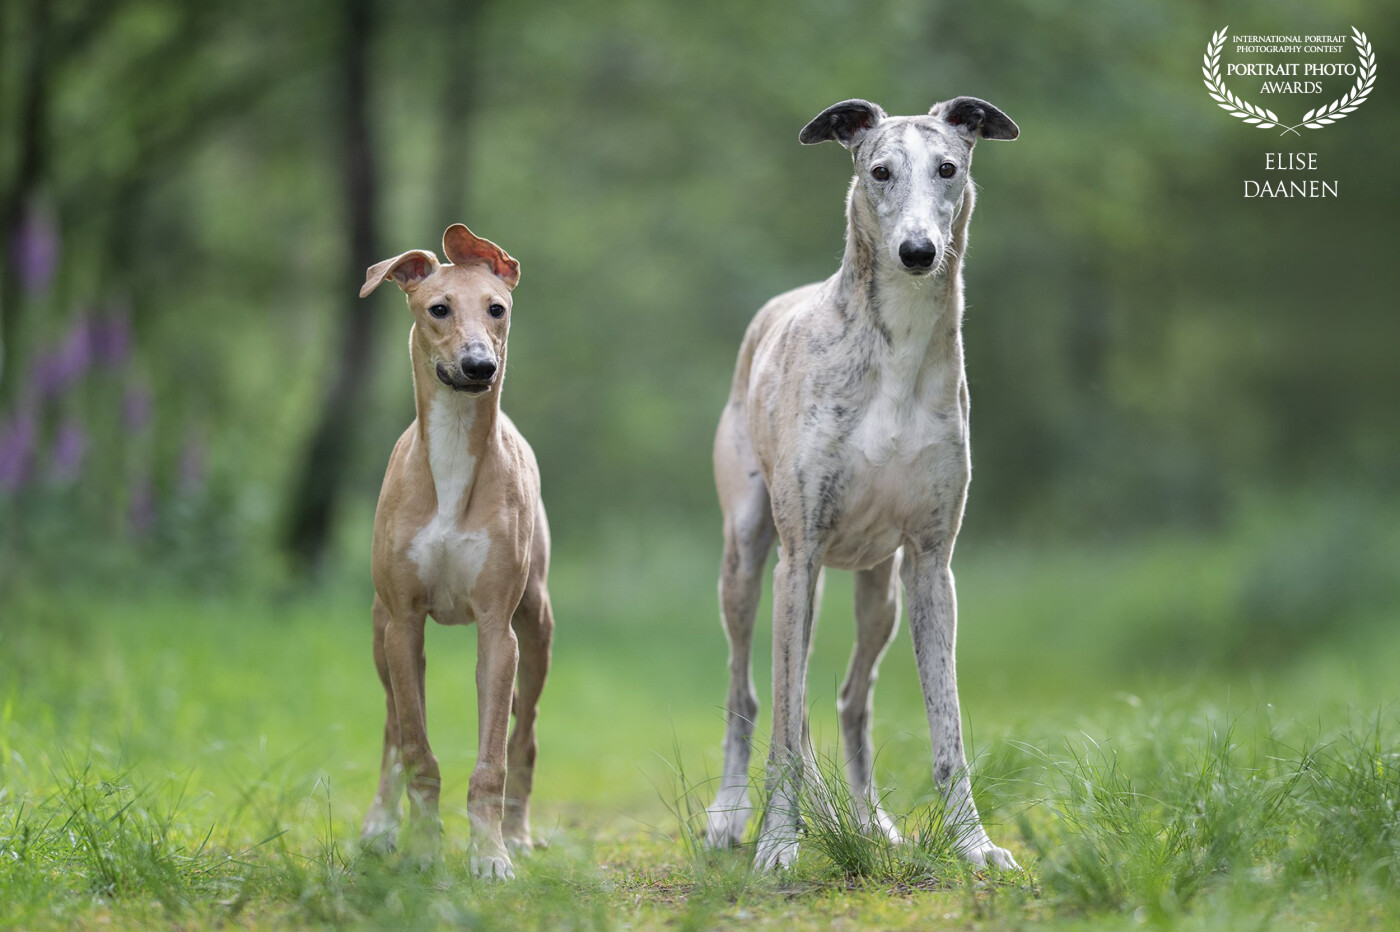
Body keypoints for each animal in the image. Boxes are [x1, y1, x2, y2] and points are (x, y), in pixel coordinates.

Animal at [357, 224, 554, 881]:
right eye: (438, 308)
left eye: (498, 309)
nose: (478, 366)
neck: (449, 458)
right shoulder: (404, 622)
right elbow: (416, 748)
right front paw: (420, 848)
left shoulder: (498, 628)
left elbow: (493, 757)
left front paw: (490, 854)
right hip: (380, 636)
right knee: (391, 728)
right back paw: (380, 825)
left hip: (537, 628)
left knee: (526, 734)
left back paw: (518, 833)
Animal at [703, 97, 1020, 871]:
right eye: (879, 171)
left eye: (948, 167)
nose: (918, 252)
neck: (896, 351)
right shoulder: (799, 556)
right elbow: (785, 729)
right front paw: (776, 844)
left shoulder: (932, 564)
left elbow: (948, 730)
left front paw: (975, 845)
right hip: (751, 564)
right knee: (749, 693)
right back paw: (729, 815)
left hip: (879, 591)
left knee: (851, 697)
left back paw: (870, 819)